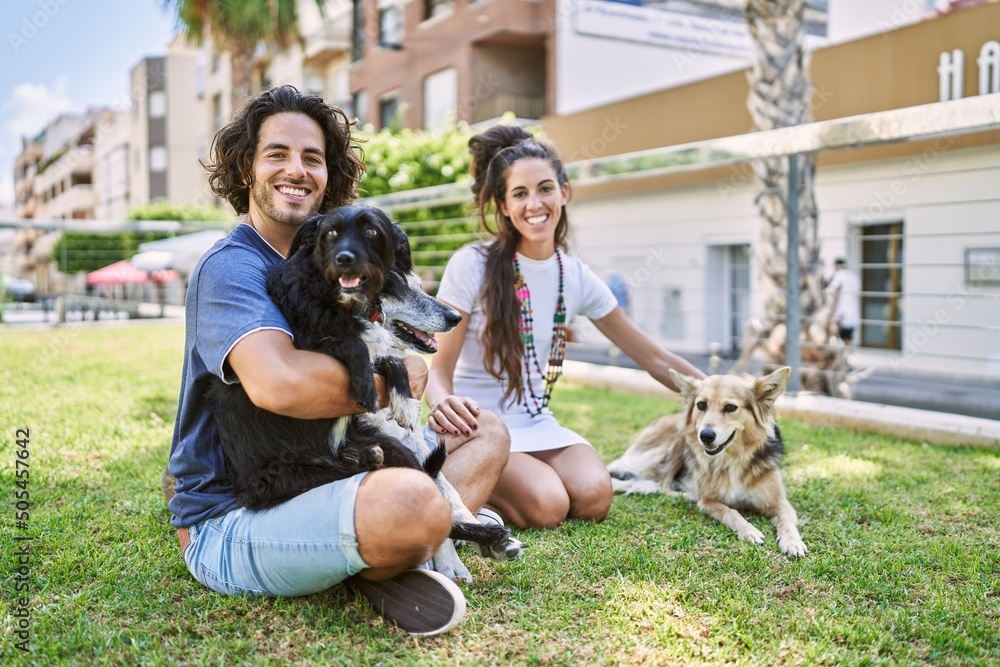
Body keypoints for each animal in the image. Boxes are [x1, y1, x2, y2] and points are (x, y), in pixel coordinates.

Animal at [604, 368, 808, 556]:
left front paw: (793, 542)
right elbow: (730, 512)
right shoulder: (709, 501)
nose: (705, 436)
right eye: (701, 405)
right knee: (657, 484)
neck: (732, 460)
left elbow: (786, 521)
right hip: (677, 443)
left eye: (730, 408)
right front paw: (749, 530)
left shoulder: (779, 503)